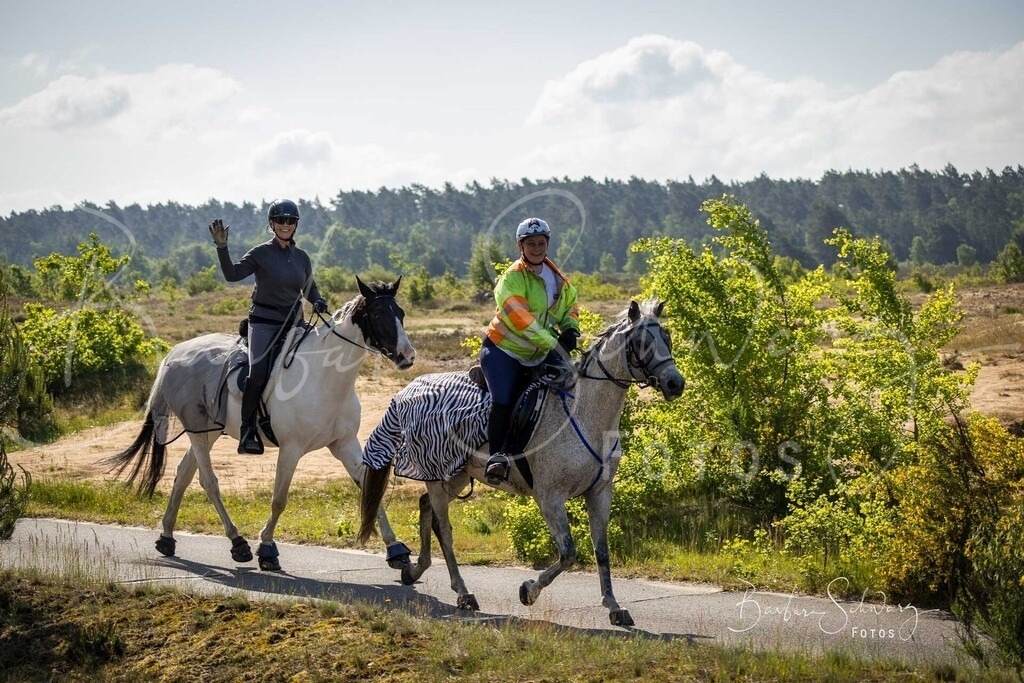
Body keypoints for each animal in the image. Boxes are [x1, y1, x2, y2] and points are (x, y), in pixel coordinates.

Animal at [104, 277, 416, 571]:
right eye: (378, 314)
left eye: (401, 313)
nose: (407, 356)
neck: (325, 376)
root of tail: (175, 353)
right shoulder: (291, 449)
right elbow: (279, 499)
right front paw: (266, 549)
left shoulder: (344, 443)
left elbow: (370, 489)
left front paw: (396, 549)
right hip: (197, 430)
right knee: (208, 481)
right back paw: (238, 543)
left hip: (209, 431)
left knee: (183, 474)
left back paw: (167, 537)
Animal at [358, 299, 684, 625]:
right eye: (642, 343)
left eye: (666, 338)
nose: (675, 383)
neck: (584, 415)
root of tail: (407, 389)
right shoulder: (550, 497)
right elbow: (568, 553)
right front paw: (528, 591)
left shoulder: (600, 493)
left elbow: (601, 550)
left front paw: (614, 607)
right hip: (438, 475)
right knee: (445, 530)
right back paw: (463, 593)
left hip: (456, 474)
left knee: (427, 509)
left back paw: (414, 570)